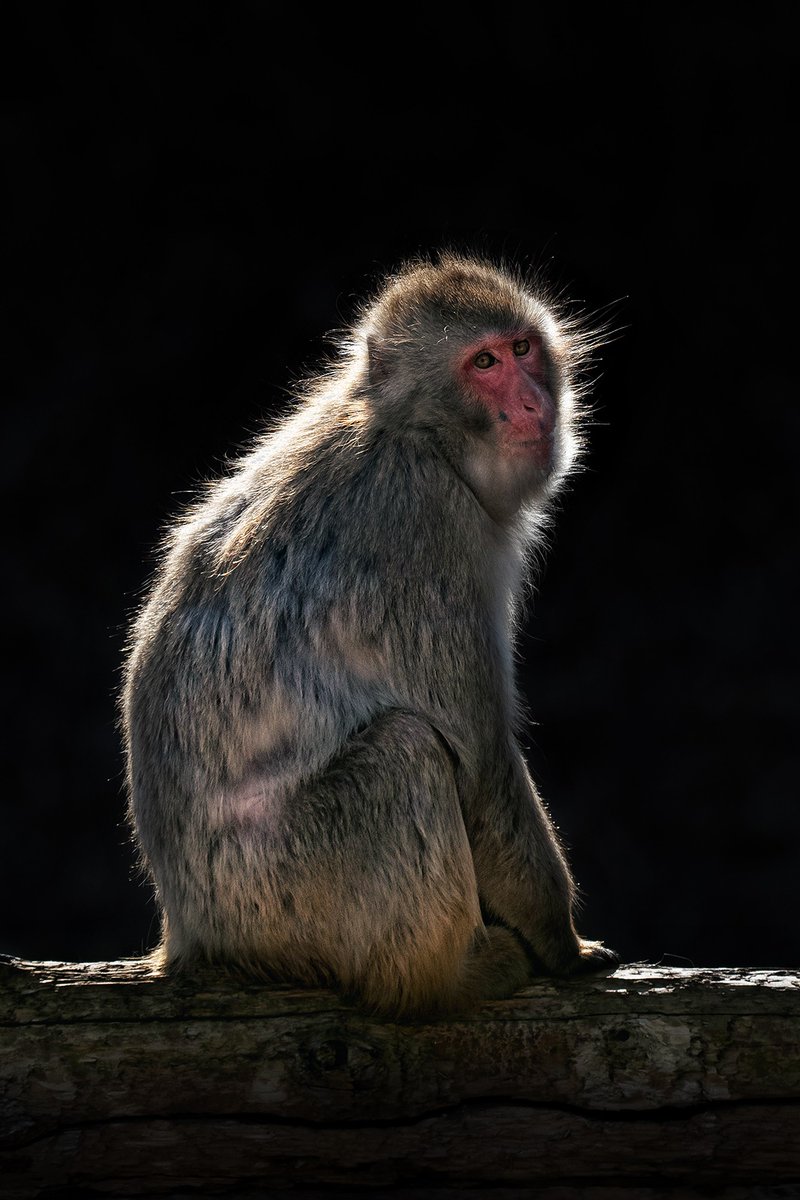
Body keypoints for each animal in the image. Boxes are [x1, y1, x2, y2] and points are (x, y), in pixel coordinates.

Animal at [121, 250, 618, 1018]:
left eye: (522, 349)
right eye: (483, 363)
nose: (536, 404)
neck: (414, 434)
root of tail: (192, 935)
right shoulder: (428, 521)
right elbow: (481, 766)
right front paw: (564, 945)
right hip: (291, 898)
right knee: (403, 753)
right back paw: (443, 979)